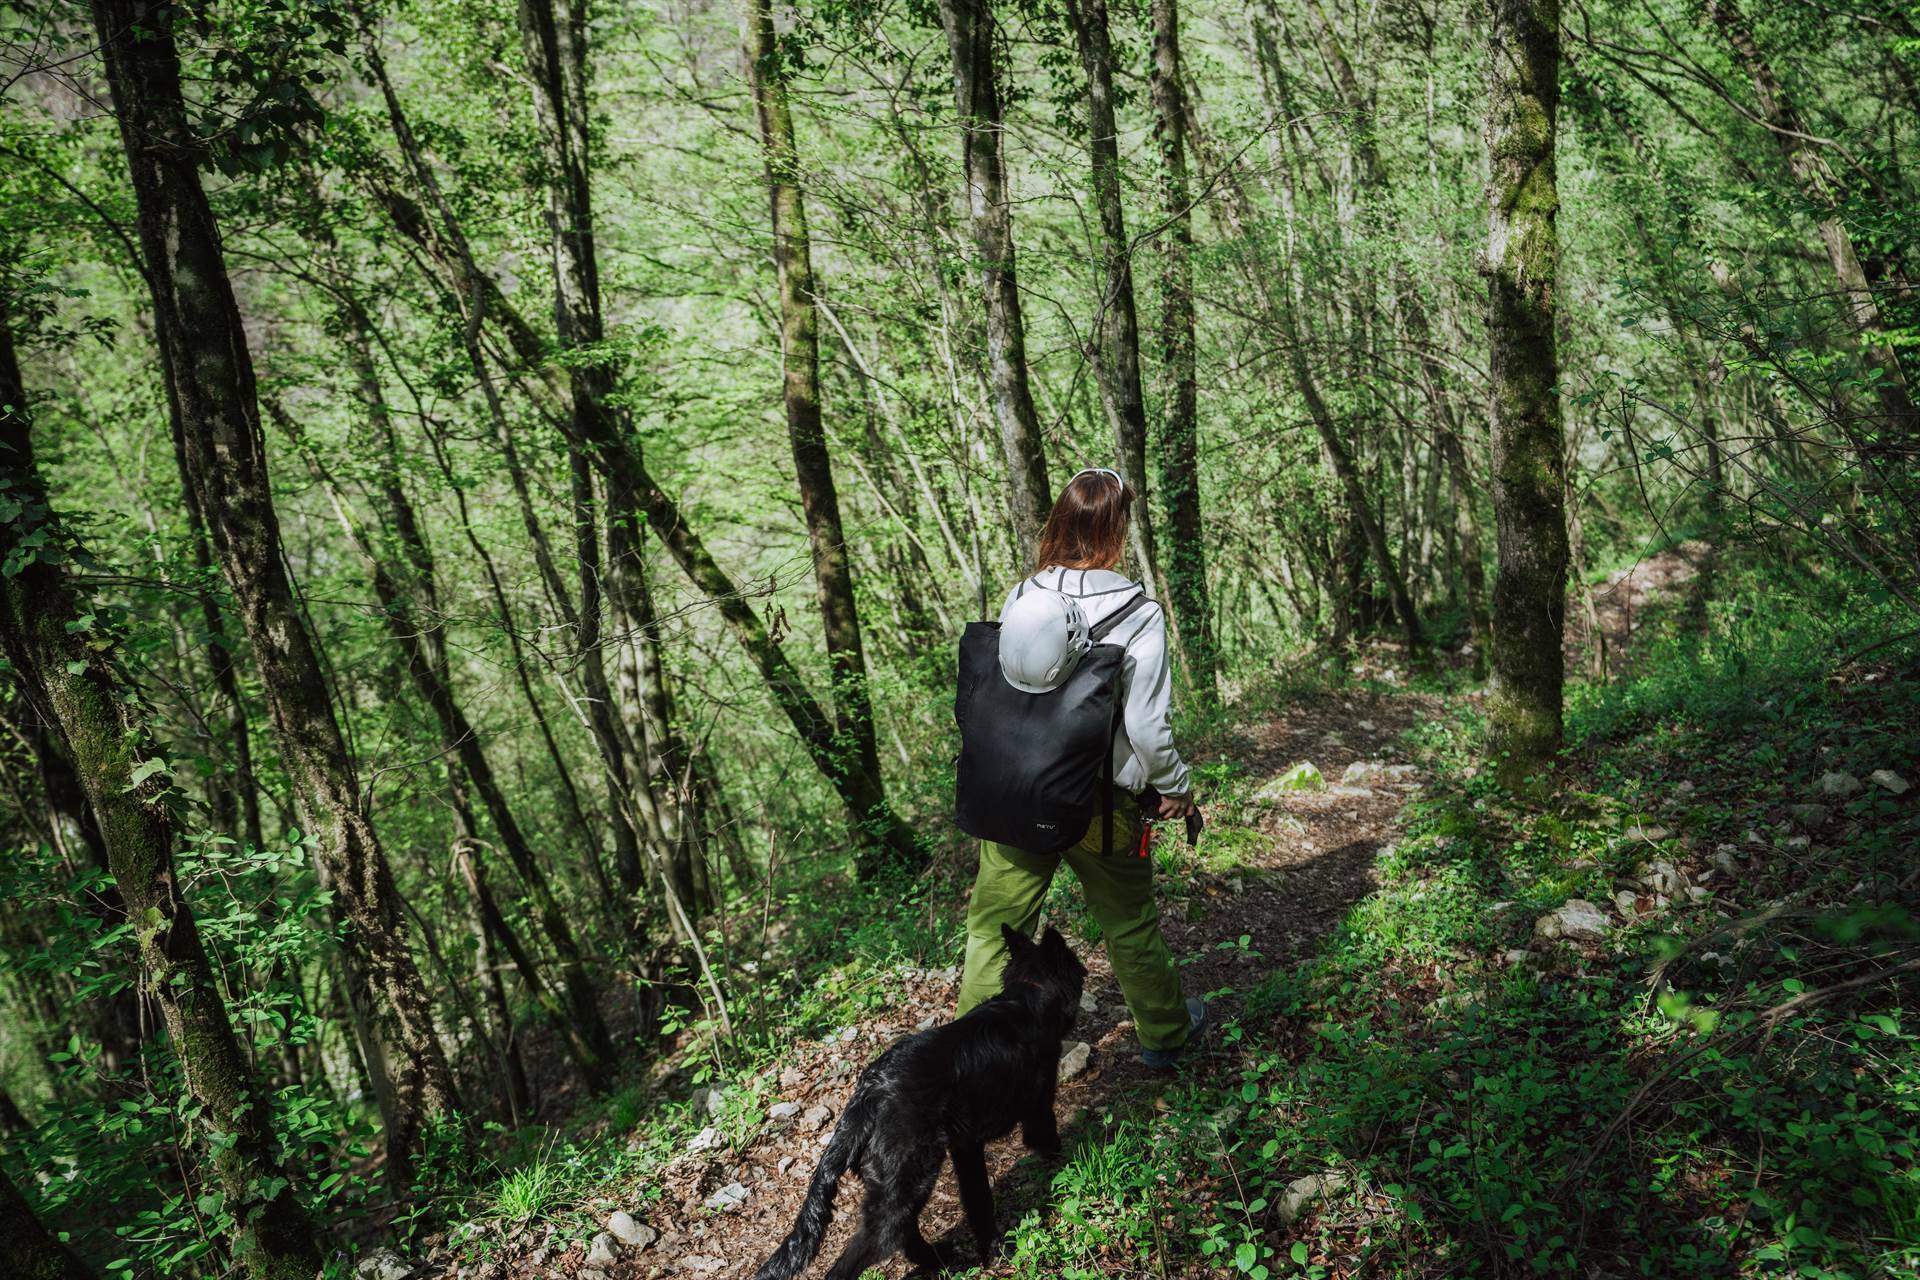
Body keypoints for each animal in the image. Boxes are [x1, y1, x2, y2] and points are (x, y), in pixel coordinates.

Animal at [748, 924, 1090, 1274]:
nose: (1086, 969)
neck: (1026, 998)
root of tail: (868, 1096)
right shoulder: (1039, 1106)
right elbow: (1049, 1143)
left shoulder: (965, 1147)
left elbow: (978, 1200)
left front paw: (993, 1248)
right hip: (909, 1181)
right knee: (863, 1251)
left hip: (899, 1185)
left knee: (905, 1233)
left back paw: (938, 1258)